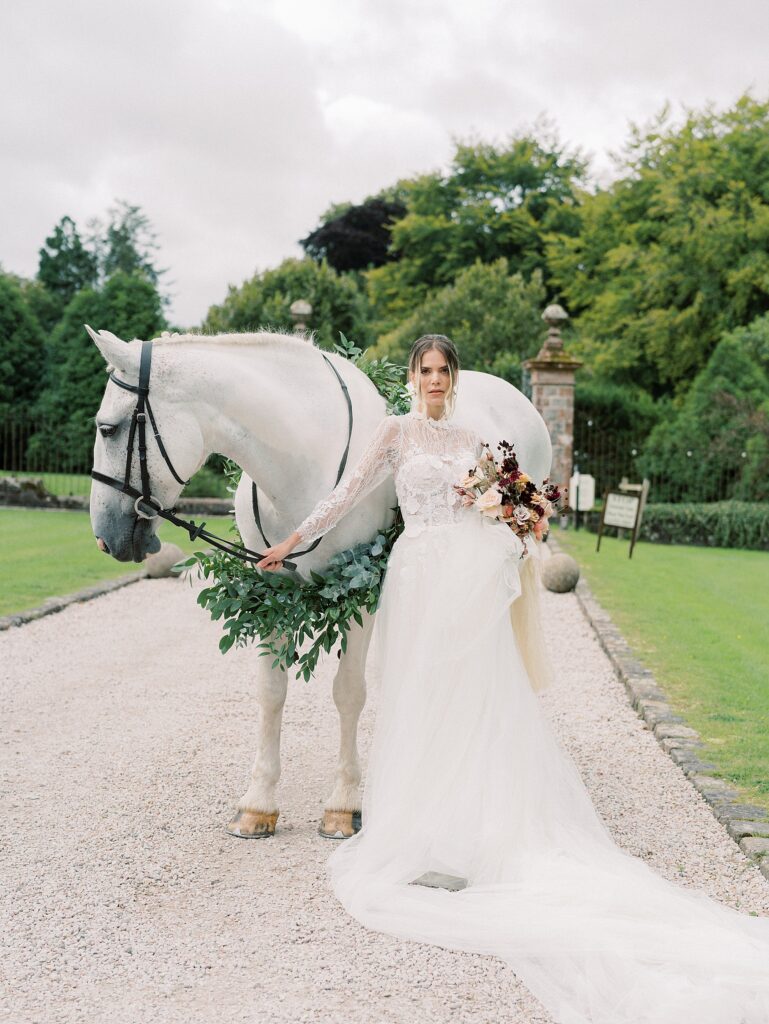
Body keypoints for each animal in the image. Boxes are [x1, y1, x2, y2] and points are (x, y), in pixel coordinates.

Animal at [87, 327, 548, 839]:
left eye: (107, 428)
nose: (104, 537)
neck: (303, 461)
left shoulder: (362, 590)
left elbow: (348, 693)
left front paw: (343, 804)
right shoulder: (269, 590)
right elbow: (271, 693)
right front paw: (258, 804)